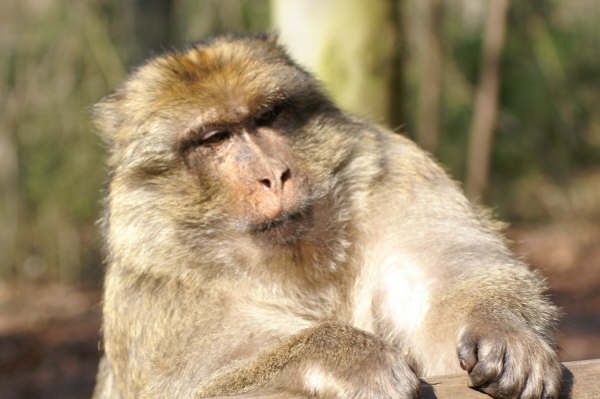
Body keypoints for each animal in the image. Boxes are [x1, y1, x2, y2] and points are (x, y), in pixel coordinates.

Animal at [92, 35, 564, 399]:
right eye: (215, 138)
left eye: (269, 116)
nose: (273, 175)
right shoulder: (151, 285)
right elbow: (188, 381)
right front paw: (342, 353)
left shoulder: (398, 175)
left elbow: (444, 300)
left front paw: (500, 327)